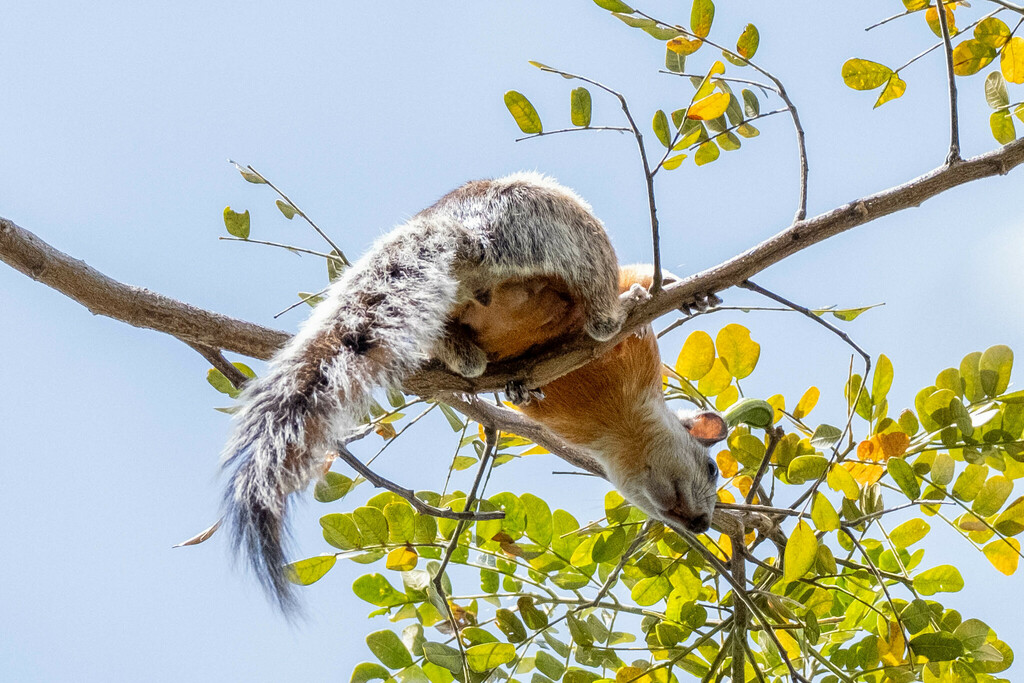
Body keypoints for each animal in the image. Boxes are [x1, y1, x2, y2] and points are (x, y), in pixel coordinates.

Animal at [222, 171, 729, 610]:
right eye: (712, 469)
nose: (702, 523)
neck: (619, 422)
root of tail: (464, 229)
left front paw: (522, 390)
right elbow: (639, 275)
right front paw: (678, 290)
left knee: (464, 352)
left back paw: (477, 360)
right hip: (571, 234)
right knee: (602, 310)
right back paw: (622, 308)